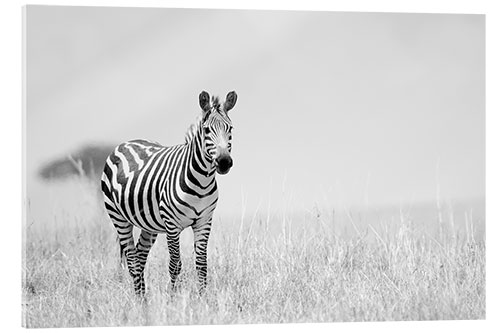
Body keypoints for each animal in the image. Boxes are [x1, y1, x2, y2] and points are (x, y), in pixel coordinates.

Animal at [101, 89, 238, 294]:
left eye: (230, 129)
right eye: (206, 130)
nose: (224, 162)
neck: (202, 182)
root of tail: (126, 142)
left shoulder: (204, 221)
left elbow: (201, 264)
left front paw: (203, 297)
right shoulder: (172, 225)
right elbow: (175, 264)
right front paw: (173, 297)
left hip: (148, 225)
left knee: (140, 257)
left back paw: (144, 299)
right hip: (118, 218)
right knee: (132, 261)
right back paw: (139, 300)